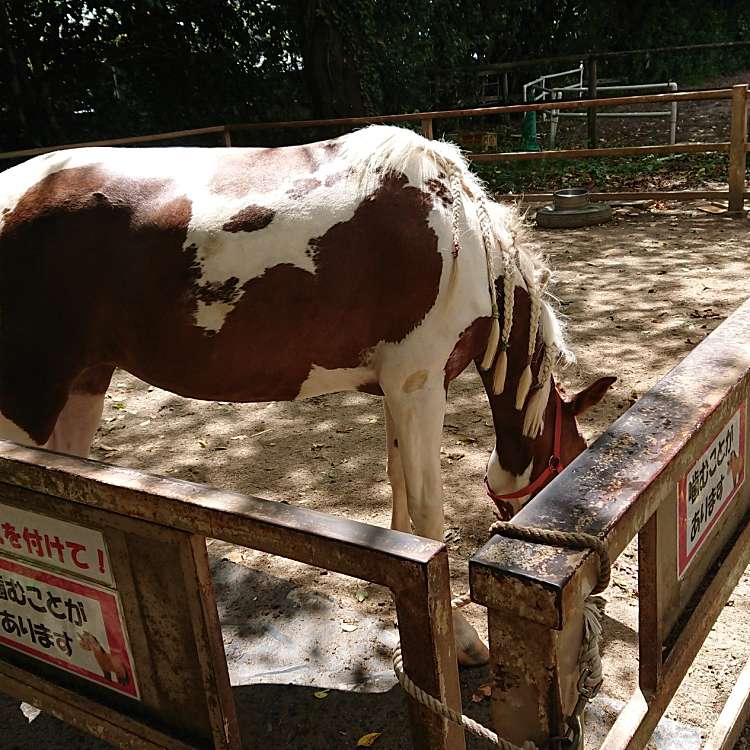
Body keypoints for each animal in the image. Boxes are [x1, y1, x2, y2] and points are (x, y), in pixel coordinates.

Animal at [0, 126, 612, 668]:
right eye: (569, 461)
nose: (595, 598)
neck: (461, 234)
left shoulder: (397, 389)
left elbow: (399, 496)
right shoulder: (420, 387)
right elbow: (428, 515)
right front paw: (461, 641)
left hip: (84, 387)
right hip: (27, 404)